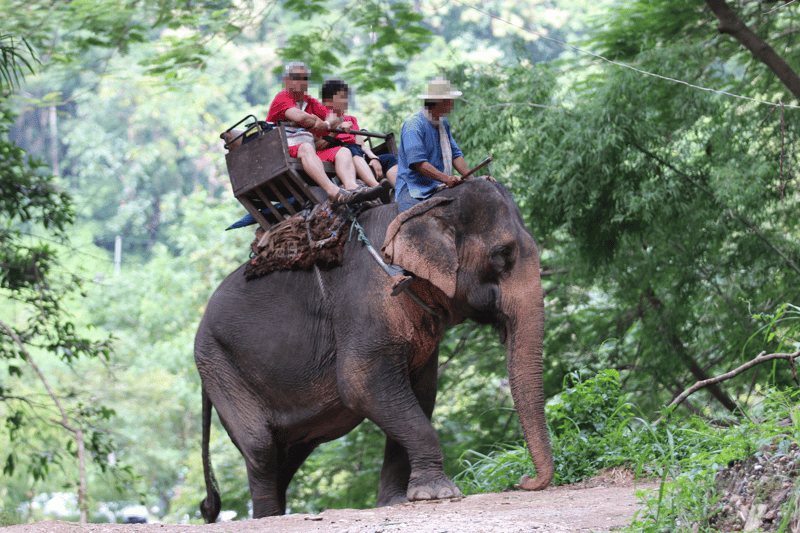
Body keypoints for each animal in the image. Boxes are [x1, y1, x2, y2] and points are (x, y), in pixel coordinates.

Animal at [194, 178, 553, 521]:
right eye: (503, 254)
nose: (524, 482)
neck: (421, 208)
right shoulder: (366, 302)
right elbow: (362, 385)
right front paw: (440, 493)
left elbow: (422, 394)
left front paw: (401, 500)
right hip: (220, 368)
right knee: (261, 446)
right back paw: (268, 516)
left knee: (287, 451)